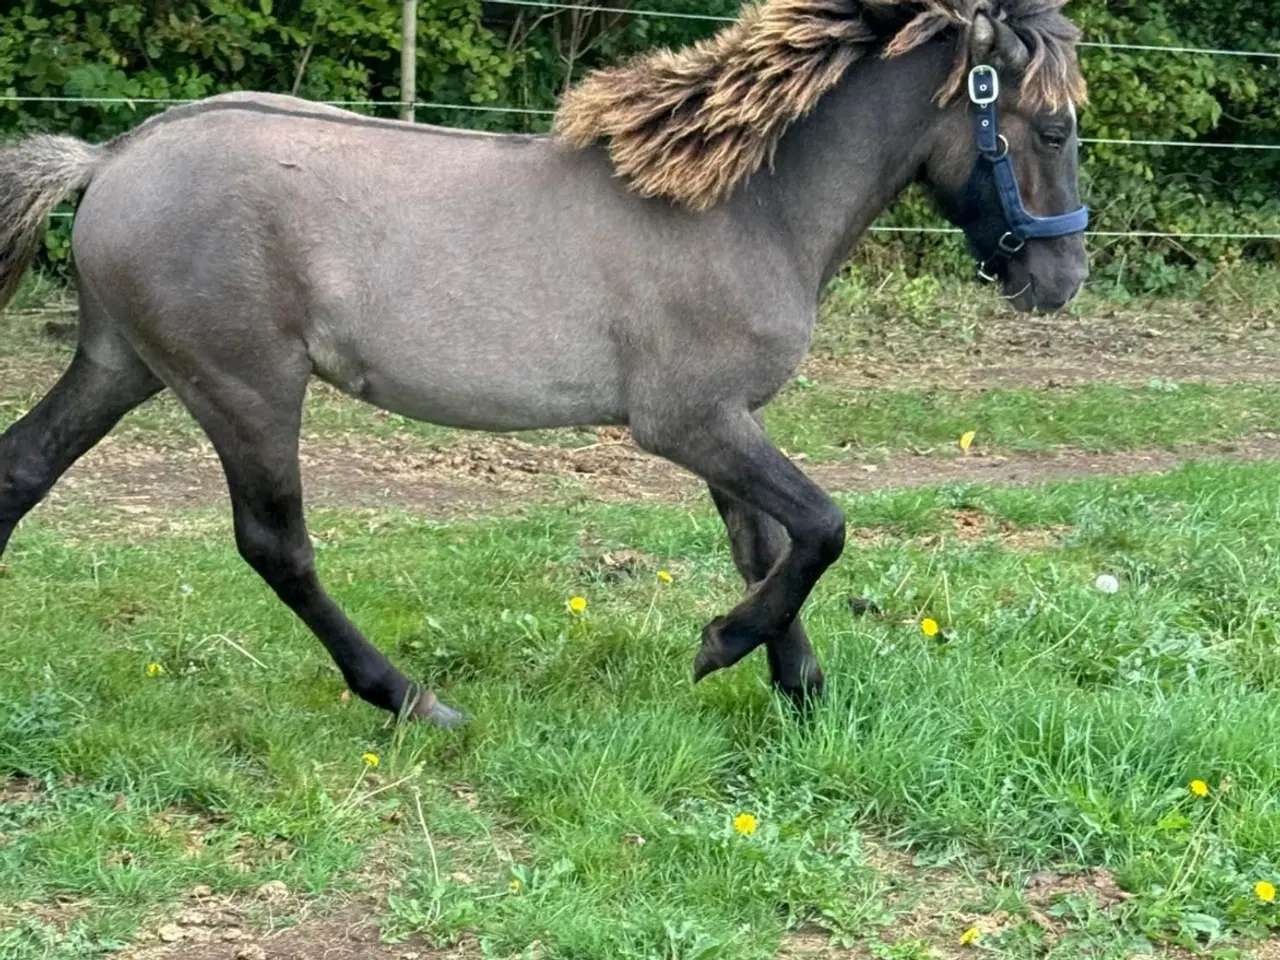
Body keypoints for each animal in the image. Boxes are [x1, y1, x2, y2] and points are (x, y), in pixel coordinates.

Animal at [0, 0, 1090, 727]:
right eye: (1050, 127)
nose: (1060, 279)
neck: (741, 205)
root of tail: (111, 159)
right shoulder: (689, 423)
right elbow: (821, 528)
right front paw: (725, 648)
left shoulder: (726, 424)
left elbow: (769, 546)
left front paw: (799, 690)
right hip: (244, 388)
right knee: (277, 546)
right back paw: (412, 700)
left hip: (125, 364)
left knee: (21, 471)